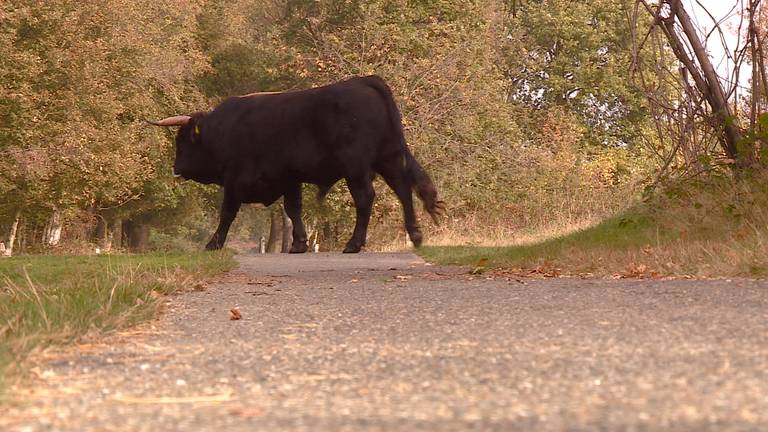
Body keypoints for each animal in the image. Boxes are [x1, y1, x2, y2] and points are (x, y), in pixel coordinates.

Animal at [149, 75, 444, 253]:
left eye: (182, 141)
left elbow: (227, 213)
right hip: (389, 158)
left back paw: (354, 243)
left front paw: (214, 243)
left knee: (365, 198)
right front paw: (299, 243)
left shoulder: (234, 180)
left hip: (356, 167)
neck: (224, 130)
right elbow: (294, 210)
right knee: (403, 191)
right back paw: (416, 234)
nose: (176, 168)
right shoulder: (289, 178)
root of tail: (363, 81)